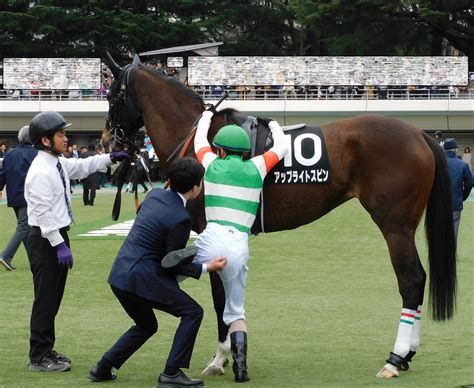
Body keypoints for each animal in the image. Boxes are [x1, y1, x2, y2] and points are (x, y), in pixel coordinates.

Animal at [103, 53, 456, 378]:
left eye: (111, 95)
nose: (108, 140)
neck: (197, 140)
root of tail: (420, 134)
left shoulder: (211, 228)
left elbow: (220, 295)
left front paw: (221, 357)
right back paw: (408, 354)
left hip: (395, 226)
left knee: (411, 280)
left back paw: (395, 358)